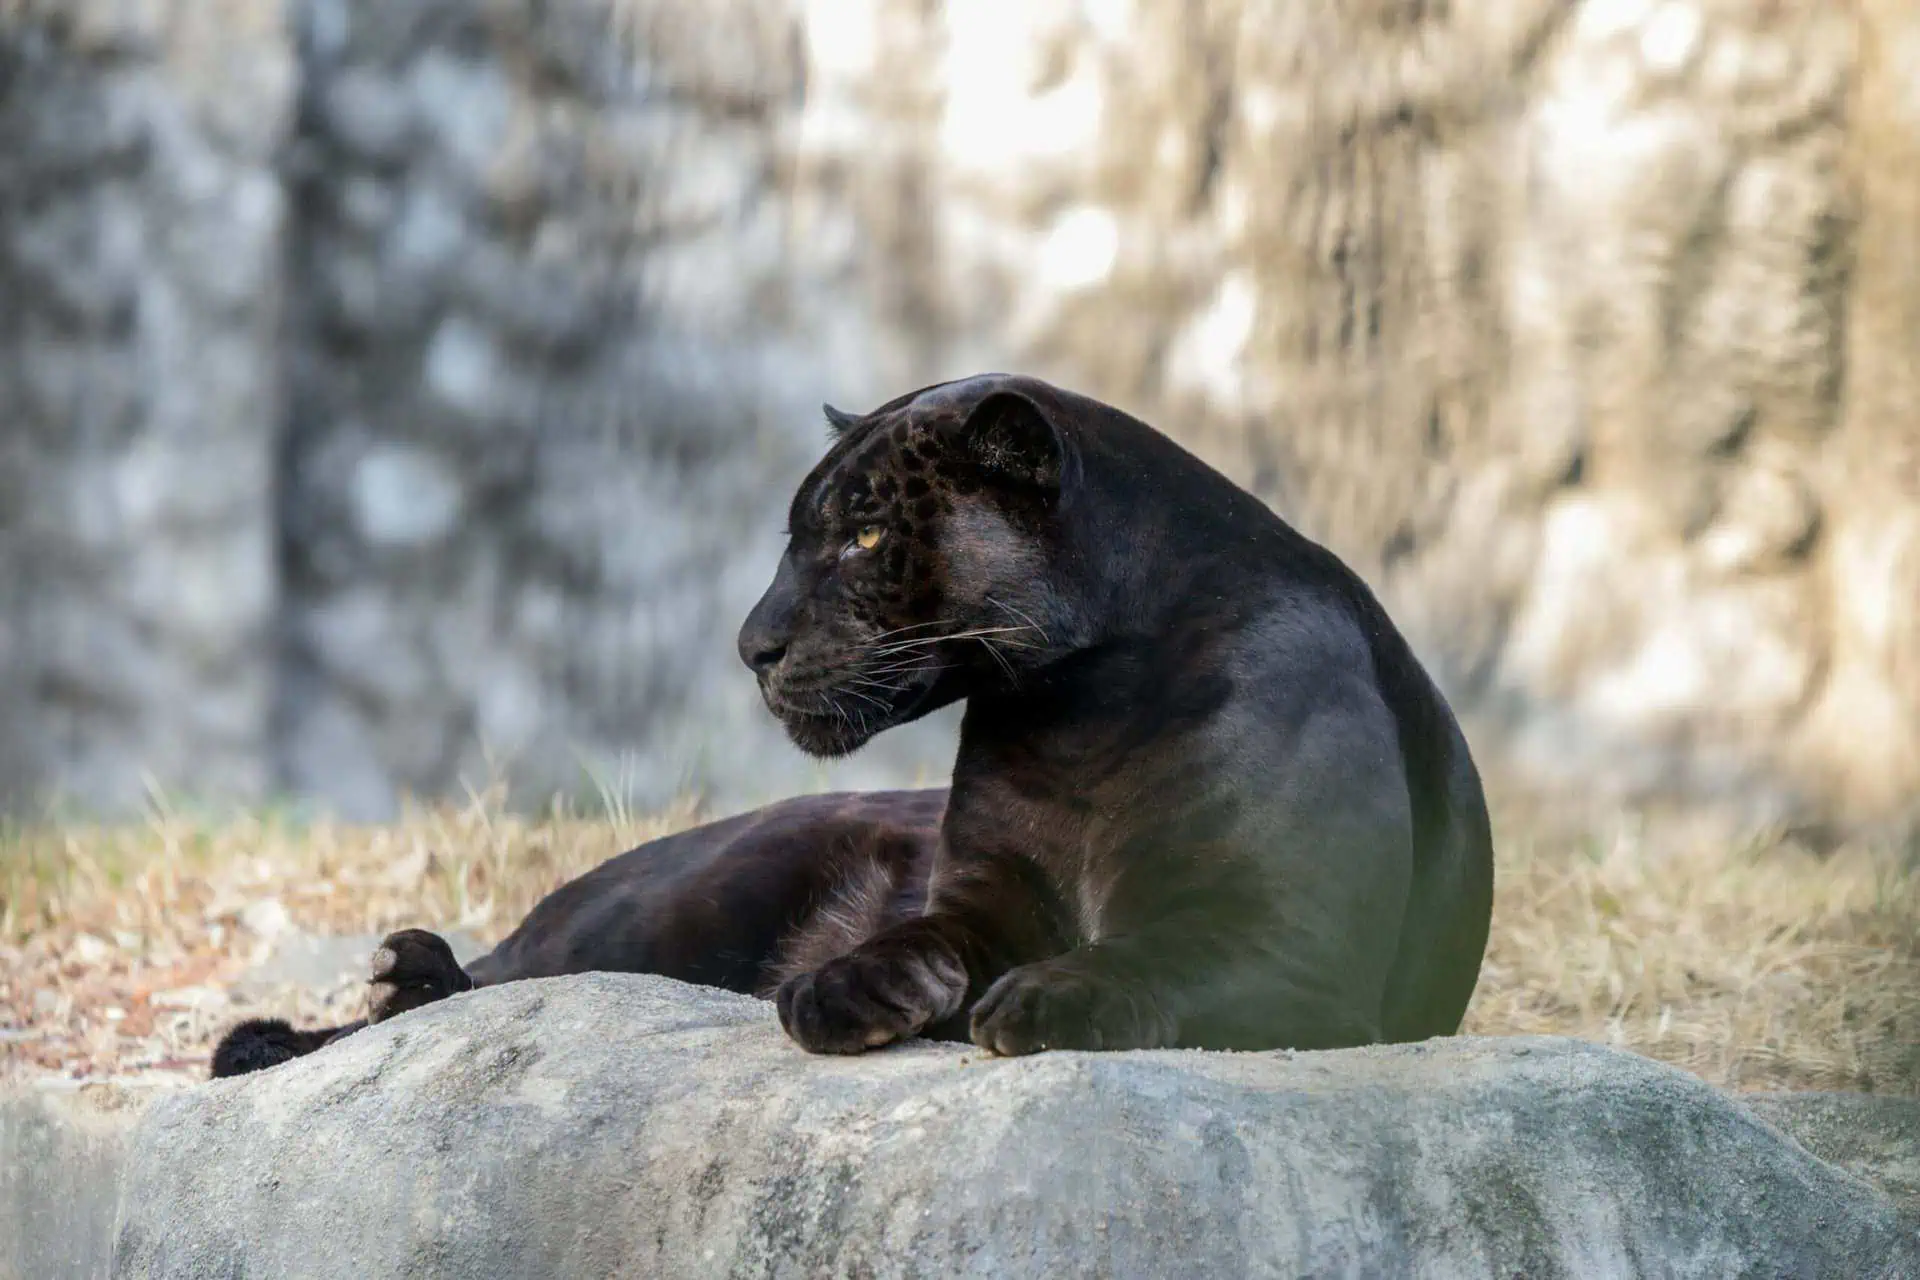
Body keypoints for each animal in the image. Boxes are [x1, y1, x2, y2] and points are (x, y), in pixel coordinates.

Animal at [211, 373, 1493, 1076]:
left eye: (868, 534)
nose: (751, 644)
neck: (1076, 707)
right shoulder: (980, 890)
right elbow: (922, 931)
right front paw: (842, 987)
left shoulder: (1294, 940)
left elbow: (1161, 949)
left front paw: (1035, 999)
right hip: (666, 909)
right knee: (490, 980)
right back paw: (330, 1008)